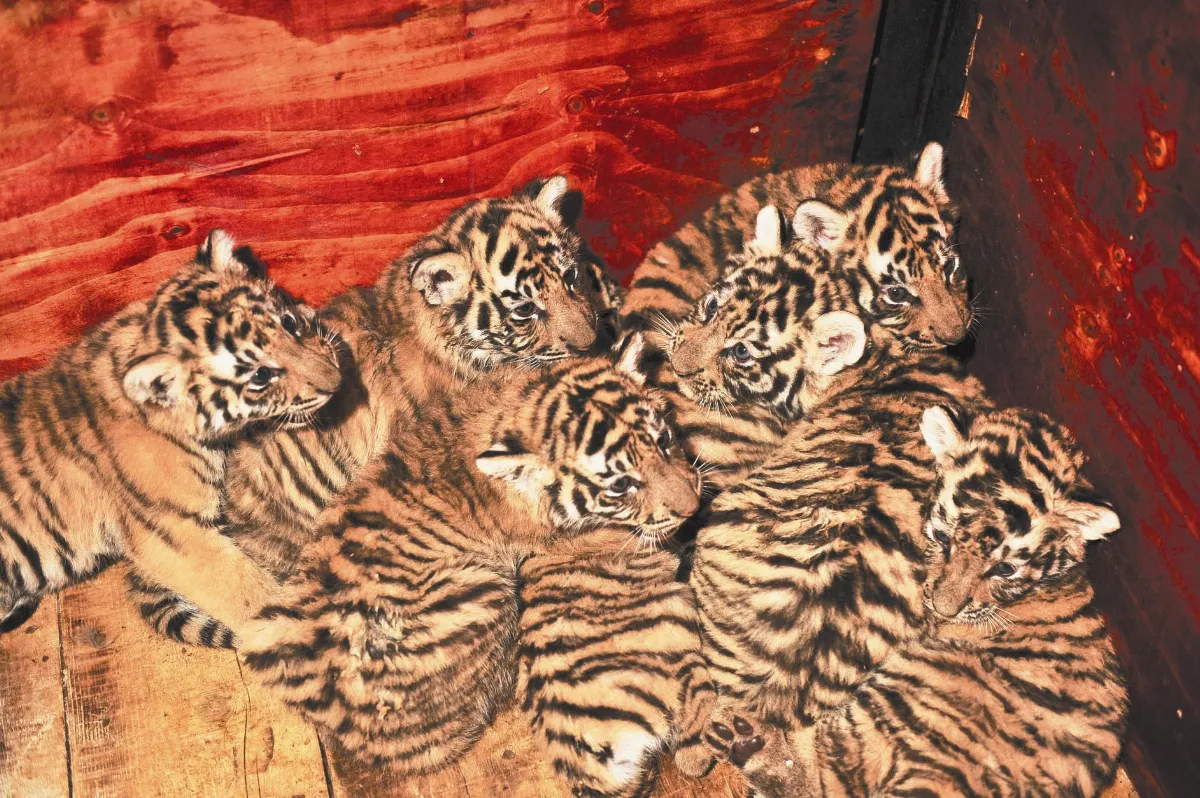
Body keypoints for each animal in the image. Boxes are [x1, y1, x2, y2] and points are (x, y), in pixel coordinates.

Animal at [718, 407, 1129, 798]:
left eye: (1005, 568)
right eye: (944, 540)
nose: (944, 610)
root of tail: (945, 780)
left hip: (901, 693)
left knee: (829, 776)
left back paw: (750, 739)